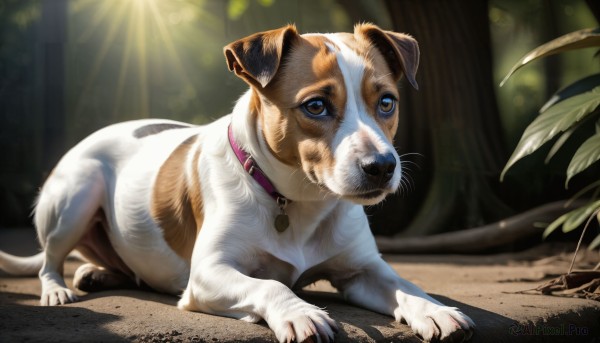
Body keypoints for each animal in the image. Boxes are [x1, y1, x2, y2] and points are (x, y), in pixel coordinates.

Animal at [0, 23, 476, 342]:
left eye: (387, 102)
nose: (382, 166)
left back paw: (96, 273)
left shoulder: (363, 270)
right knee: (49, 259)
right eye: (316, 106)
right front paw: (300, 311)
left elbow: (404, 286)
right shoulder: (209, 273)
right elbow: (269, 284)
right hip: (76, 196)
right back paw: (58, 289)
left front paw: (431, 309)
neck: (297, 201)